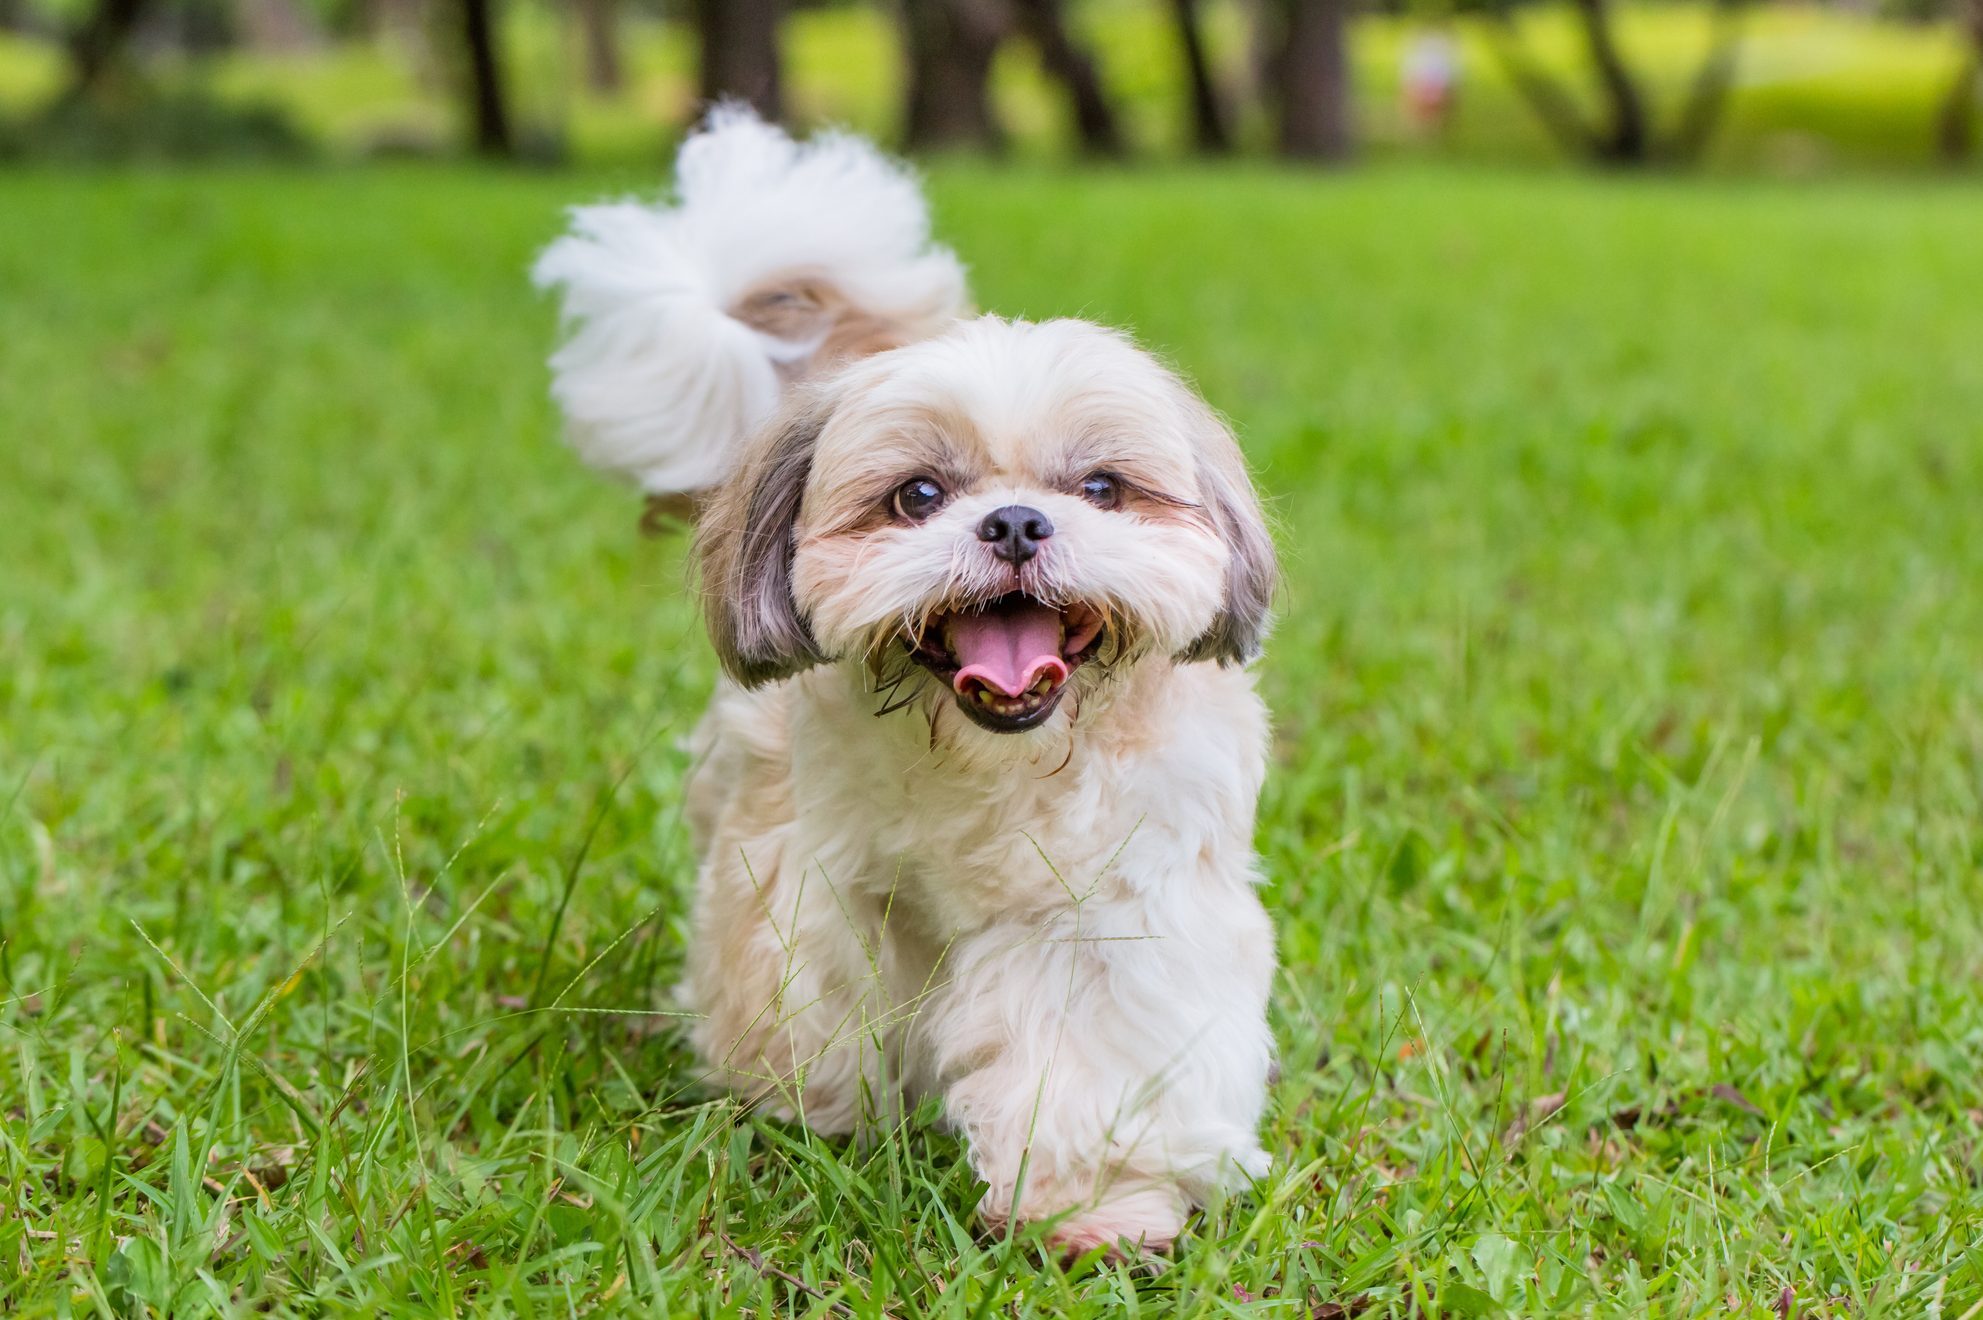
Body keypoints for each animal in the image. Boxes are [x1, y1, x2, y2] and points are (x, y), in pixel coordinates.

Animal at [539, 108, 1284, 1252]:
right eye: (918, 495)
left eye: (1101, 488)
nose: (1016, 521)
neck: (996, 761)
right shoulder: (822, 883)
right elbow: (825, 1001)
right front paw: (820, 1119)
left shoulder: (1114, 913)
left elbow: (1093, 1059)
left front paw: (1092, 1209)